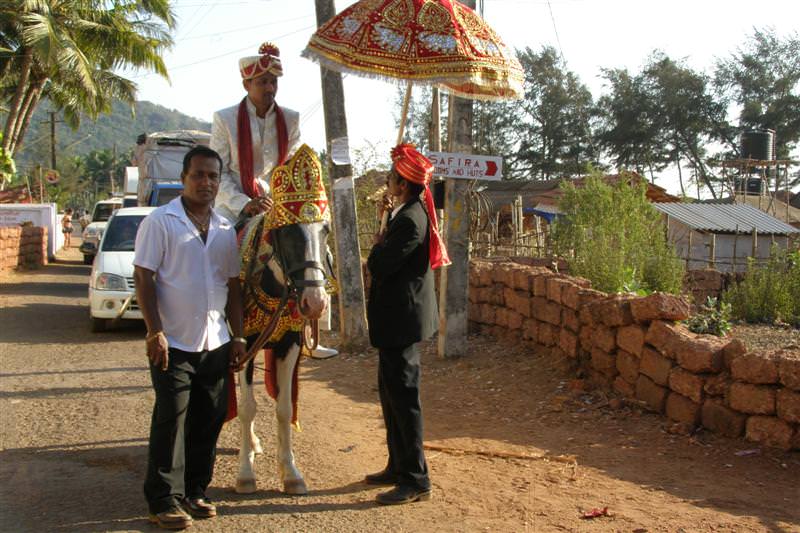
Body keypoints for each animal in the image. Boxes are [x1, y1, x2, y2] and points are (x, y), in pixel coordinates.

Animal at [231, 143, 334, 492]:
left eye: (325, 230)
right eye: (287, 231)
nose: (314, 302)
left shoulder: (288, 344)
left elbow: (284, 408)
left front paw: (290, 472)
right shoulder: (244, 345)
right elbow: (247, 408)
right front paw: (245, 473)